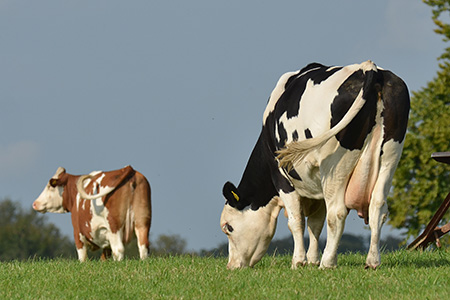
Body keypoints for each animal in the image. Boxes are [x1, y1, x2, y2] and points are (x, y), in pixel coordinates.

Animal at [220, 61, 410, 270]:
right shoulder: (316, 186)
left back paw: (328, 263)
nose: (231, 266)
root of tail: (369, 68)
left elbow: (296, 221)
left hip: (335, 166)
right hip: (390, 158)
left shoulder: (281, 177)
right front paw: (312, 259)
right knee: (378, 207)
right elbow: (315, 223)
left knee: (337, 213)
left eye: (228, 227)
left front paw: (299, 261)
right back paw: (372, 261)